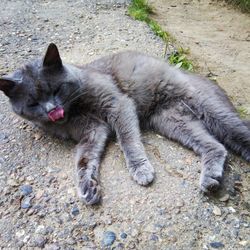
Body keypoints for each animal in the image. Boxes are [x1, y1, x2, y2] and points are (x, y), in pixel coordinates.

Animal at [0, 44, 250, 204]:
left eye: (57, 89)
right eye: (33, 103)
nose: (52, 110)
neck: (76, 110)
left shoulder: (118, 104)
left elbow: (128, 140)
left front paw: (141, 169)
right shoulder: (92, 132)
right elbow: (84, 160)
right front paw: (88, 187)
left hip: (207, 107)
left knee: (237, 133)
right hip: (174, 123)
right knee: (216, 146)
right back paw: (211, 179)